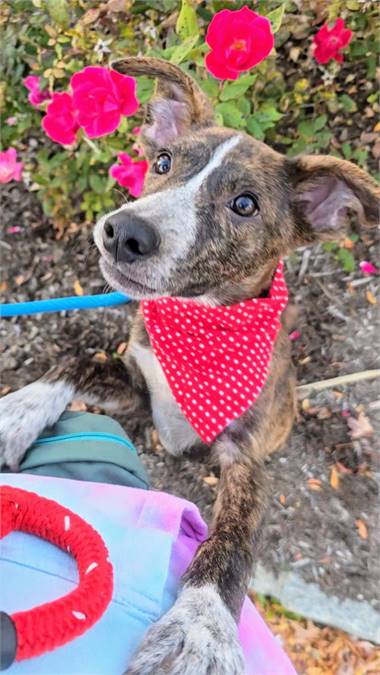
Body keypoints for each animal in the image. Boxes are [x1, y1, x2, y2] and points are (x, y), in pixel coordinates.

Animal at [0, 55, 378, 672]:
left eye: (244, 204)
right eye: (162, 162)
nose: (124, 232)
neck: (195, 323)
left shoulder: (245, 460)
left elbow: (232, 541)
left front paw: (201, 625)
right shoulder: (137, 384)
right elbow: (78, 358)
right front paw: (17, 412)